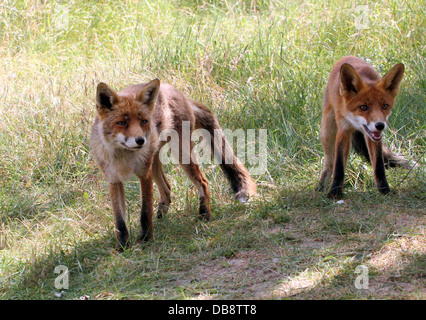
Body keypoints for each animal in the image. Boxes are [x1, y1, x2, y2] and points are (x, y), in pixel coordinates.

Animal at [90, 79, 256, 249]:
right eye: (122, 122)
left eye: (143, 121)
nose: (141, 141)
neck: (124, 158)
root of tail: (175, 90)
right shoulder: (114, 179)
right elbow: (120, 222)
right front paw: (122, 247)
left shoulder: (144, 175)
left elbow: (145, 212)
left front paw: (146, 239)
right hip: (155, 161)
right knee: (167, 188)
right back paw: (162, 216)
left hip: (181, 155)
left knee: (203, 182)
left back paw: (204, 215)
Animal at [316, 56, 412, 199]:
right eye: (363, 107)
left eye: (385, 106)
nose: (380, 125)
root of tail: (347, 56)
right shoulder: (343, 131)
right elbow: (339, 166)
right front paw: (335, 192)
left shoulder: (373, 137)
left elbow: (378, 166)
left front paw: (384, 190)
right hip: (327, 130)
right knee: (329, 162)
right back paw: (321, 187)